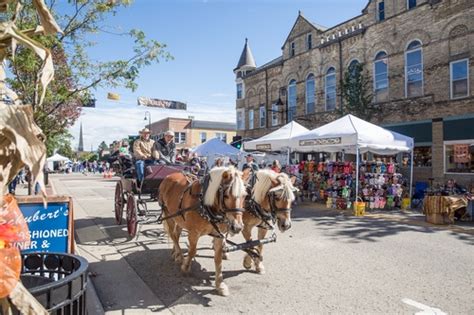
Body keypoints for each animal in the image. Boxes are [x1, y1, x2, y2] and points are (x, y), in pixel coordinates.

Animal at [159, 167, 248, 298]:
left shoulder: (219, 235)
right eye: (226, 195)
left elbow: (218, 259)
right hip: (169, 215)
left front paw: (220, 285)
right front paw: (185, 267)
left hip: (179, 218)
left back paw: (175, 253)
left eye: (245, 195)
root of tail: (169, 176)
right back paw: (179, 255)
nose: (237, 227)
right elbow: (192, 251)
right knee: (173, 235)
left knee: (176, 234)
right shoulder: (193, 233)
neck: (205, 205)